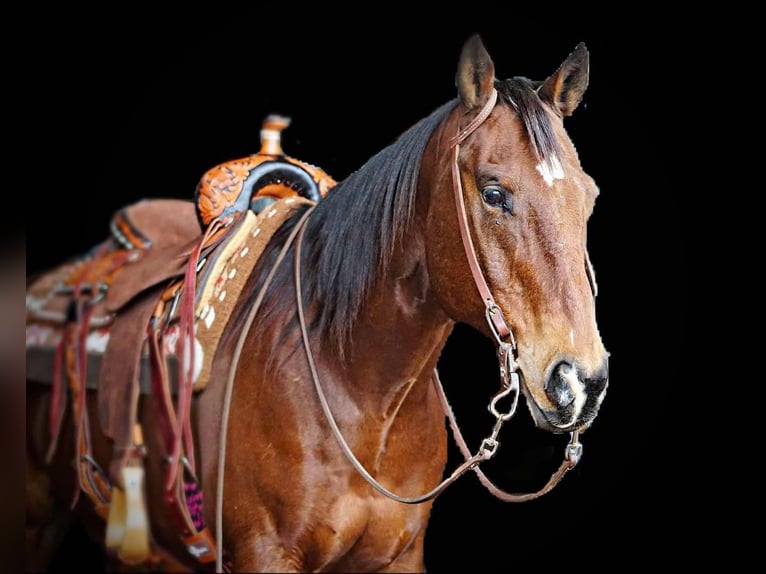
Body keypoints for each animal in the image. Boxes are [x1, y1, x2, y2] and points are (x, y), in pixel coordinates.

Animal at [25, 34, 609, 572]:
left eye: (589, 197)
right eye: (492, 193)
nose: (580, 382)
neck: (354, 383)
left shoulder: (399, 557)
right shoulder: (266, 554)